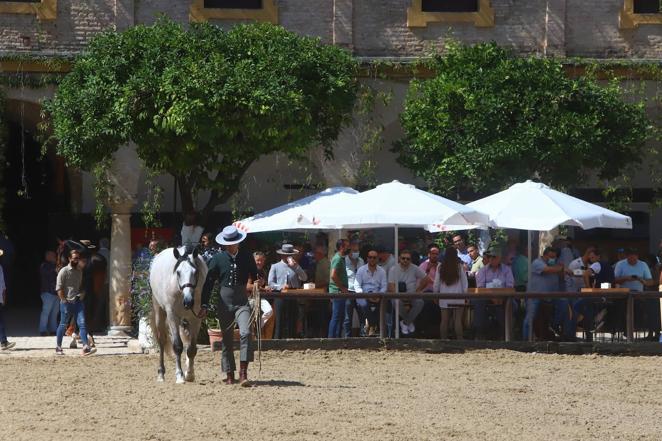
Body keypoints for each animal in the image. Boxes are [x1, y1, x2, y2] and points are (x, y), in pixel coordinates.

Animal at [150, 246, 208, 384]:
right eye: (178, 272)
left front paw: (190, 374)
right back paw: (161, 374)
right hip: (159, 310)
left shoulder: (196, 319)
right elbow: (177, 346)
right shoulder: (172, 316)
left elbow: (191, 348)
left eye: (195, 272)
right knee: (161, 340)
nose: (188, 302)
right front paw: (180, 376)